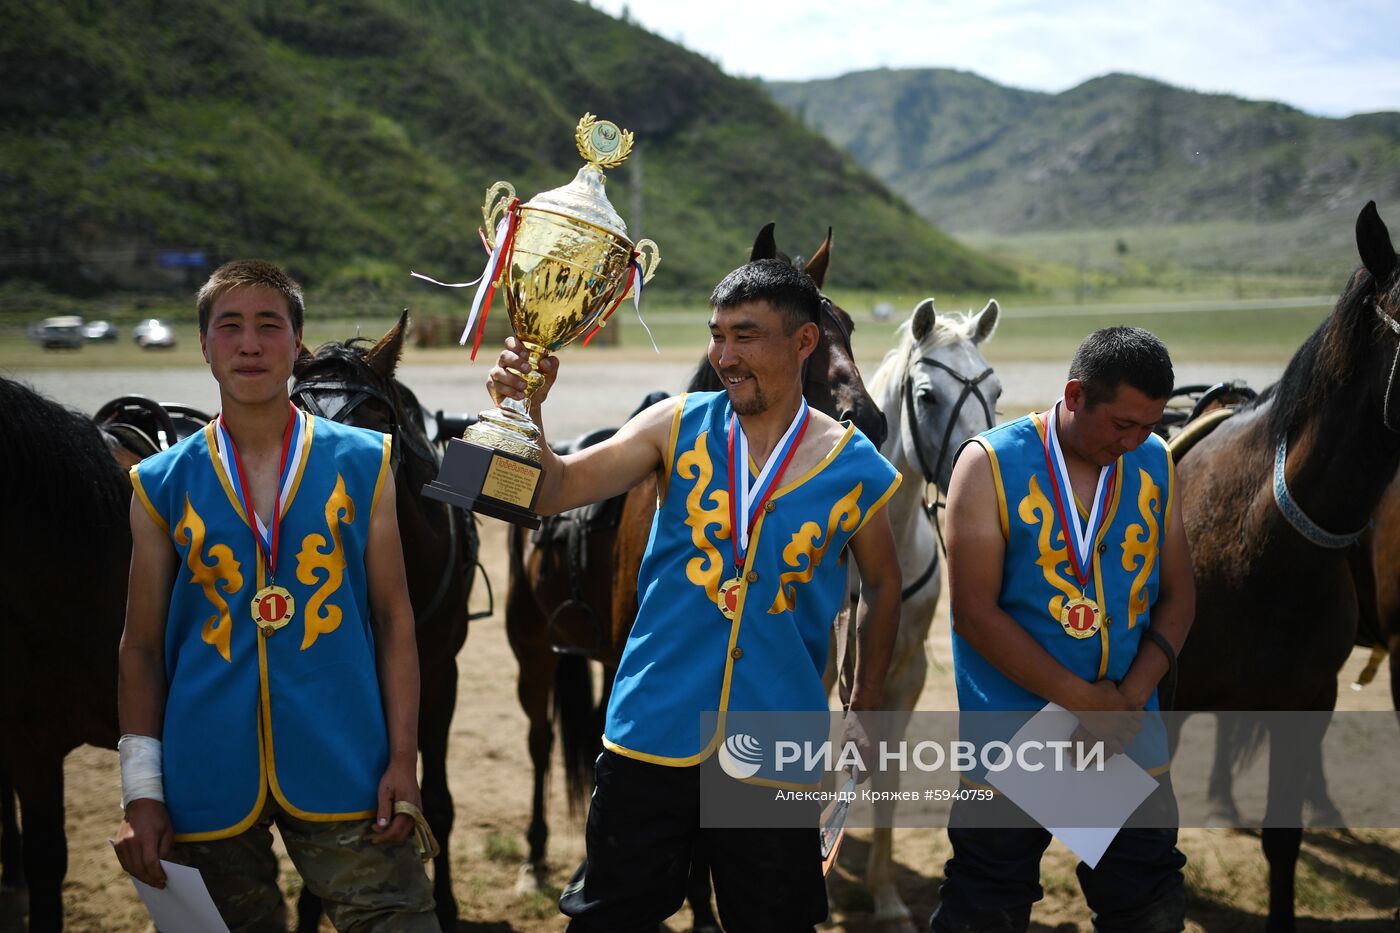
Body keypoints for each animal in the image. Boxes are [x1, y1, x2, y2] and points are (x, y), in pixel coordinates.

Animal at [504, 224, 884, 924]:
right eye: (808, 332)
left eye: (846, 324)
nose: (866, 419)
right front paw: (697, 906)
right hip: (531, 644)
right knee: (541, 741)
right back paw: (536, 858)